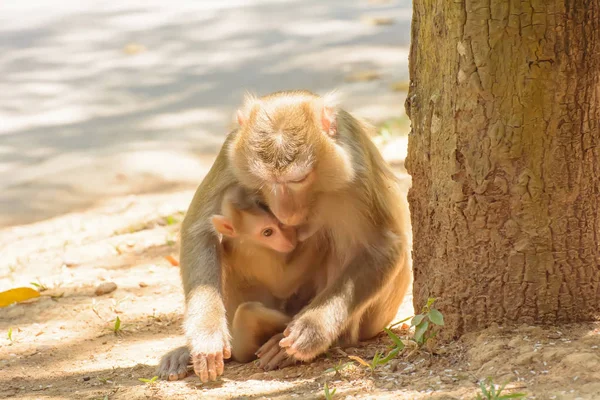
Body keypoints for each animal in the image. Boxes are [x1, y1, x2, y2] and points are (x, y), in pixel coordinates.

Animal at [158, 90, 412, 382]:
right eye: (265, 181)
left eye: (298, 180)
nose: (285, 213)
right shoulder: (229, 154)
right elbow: (198, 229)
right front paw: (207, 337)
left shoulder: (356, 169)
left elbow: (382, 245)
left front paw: (313, 330)